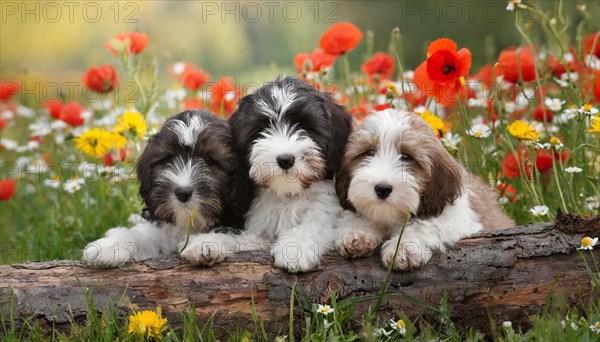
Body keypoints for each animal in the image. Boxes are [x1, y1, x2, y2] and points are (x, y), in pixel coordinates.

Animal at [82, 109, 241, 268]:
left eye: (210, 160)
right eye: (168, 159)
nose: (183, 193)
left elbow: (233, 236)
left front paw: (204, 244)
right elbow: (143, 236)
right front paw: (109, 246)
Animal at [183, 76, 352, 272]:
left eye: (304, 127)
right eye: (262, 130)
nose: (285, 159)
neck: (287, 194)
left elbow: (314, 225)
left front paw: (296, 247)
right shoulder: (258, 232)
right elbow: (240, 238)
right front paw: (206, 243)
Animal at [336, 109, 512, 270]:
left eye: (406, 156)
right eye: (370, 152)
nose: (382, 189)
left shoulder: (457, 217)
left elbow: (423, 224)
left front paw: (403, 248)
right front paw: (357, 233)